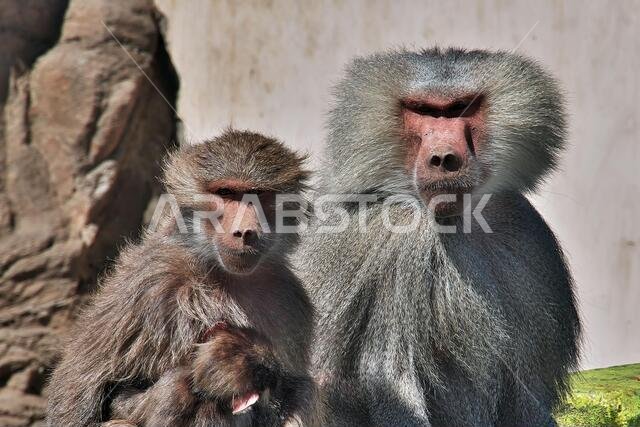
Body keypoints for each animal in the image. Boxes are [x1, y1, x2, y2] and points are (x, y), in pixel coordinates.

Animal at [46, 130, 320, 427]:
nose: (245, 232)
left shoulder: (287, 295)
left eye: (258, 195)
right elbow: (74, 395)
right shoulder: (152, 283)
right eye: (226, 193)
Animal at [295, 48, 581, 427]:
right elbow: (388, 379)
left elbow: (527, 392)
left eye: (460, 108)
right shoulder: (403, 247)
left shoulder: (526, 234)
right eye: (424, 110)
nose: (443, 159)